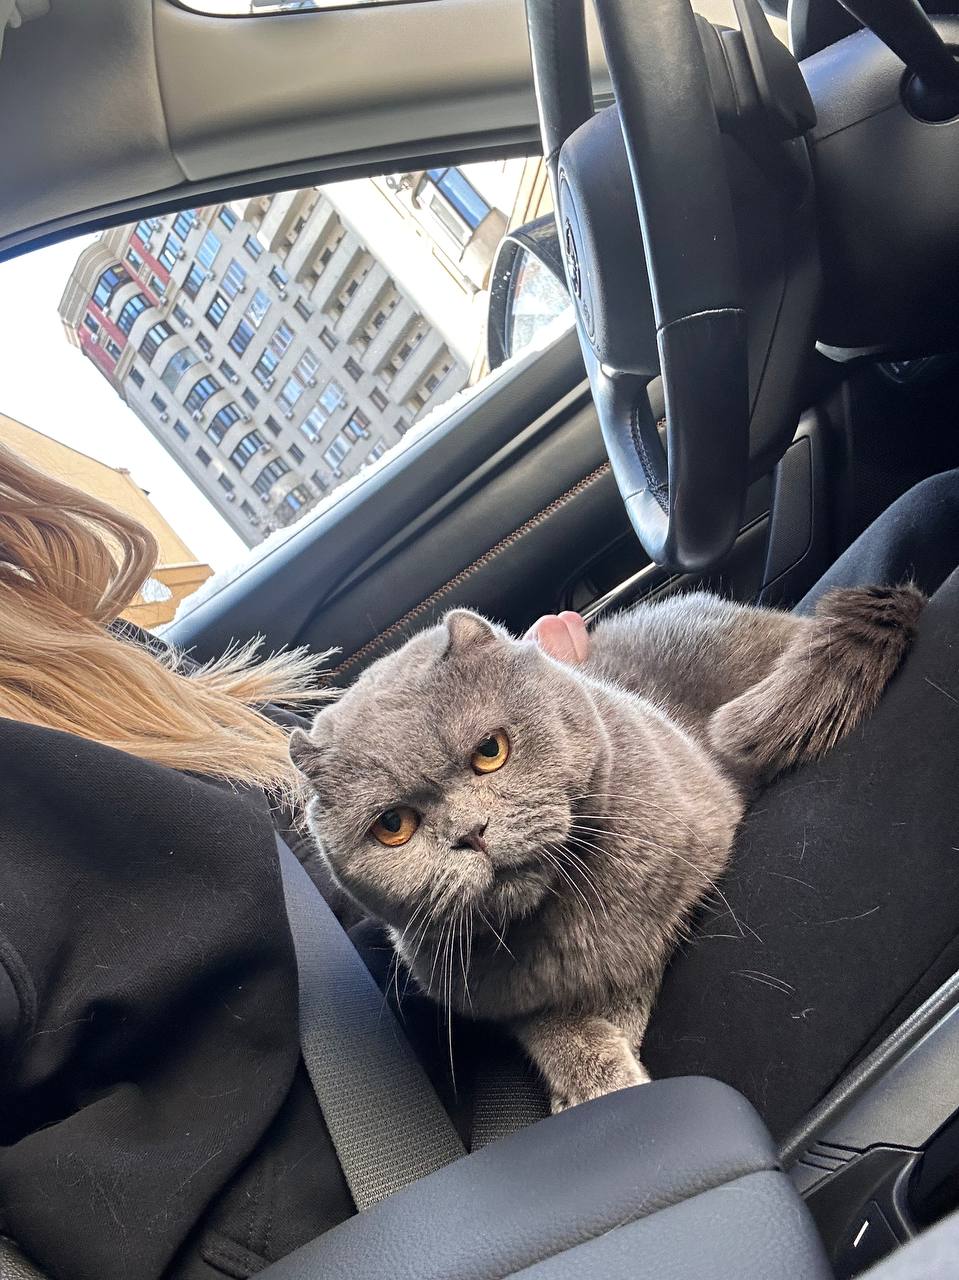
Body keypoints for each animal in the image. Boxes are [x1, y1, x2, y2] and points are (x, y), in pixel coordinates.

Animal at [290, 585, 923, 1112]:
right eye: (393, 825)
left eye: (491, 750)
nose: (470, 833)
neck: (548, 922)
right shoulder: (505, 1001)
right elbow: (549, 1028)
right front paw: (585, 1078)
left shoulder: (676, 887)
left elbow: (626, 976)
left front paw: (606, 1075)